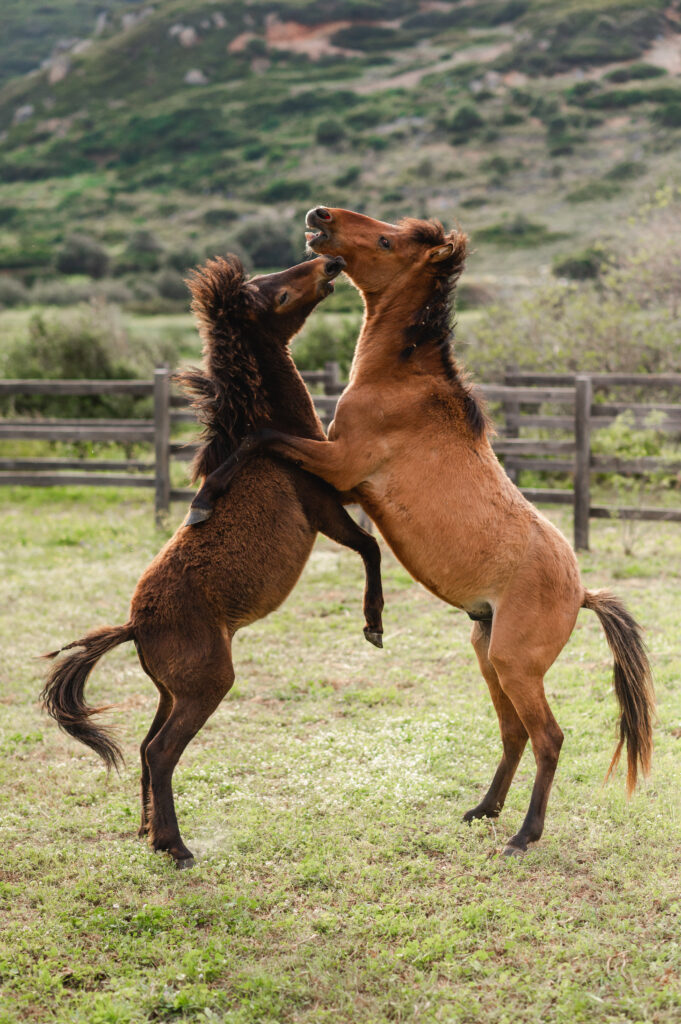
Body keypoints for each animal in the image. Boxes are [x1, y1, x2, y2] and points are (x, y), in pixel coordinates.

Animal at [41, 253, 382, 864]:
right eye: (273, 293)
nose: (328, 263)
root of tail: (134, 625)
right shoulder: (325, 506)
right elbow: (369, 546)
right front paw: (373, 625)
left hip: (169, 691)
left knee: (147, 746)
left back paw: (148, 834)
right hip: (206, 687)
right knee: (160, 752)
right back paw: (175, 846)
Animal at [186, 207, 655, 856]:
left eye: (386, 240)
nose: (319, 217)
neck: (401, 381)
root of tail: (583, 593)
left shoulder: (342, 465)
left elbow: (260, 439)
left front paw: (202, 503)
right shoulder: (341, 479)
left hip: (516, 666)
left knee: (548, 738)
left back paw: (523, 835)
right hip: (489, 657)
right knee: (513, 734)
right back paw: (484, 810)